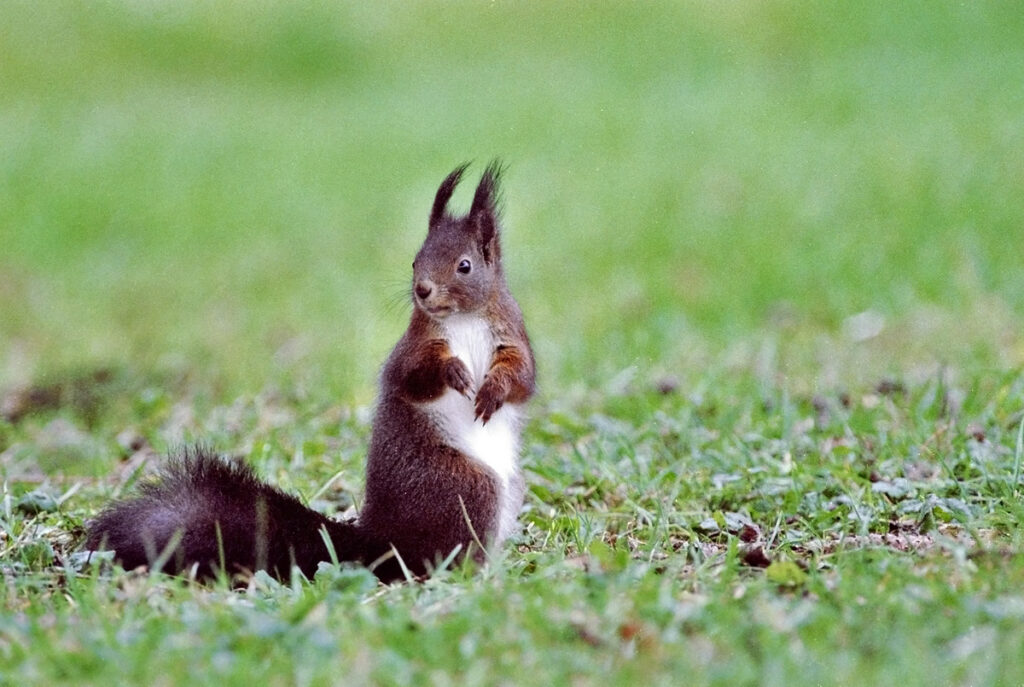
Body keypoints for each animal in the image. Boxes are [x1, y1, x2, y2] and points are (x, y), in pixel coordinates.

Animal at [86, 162, 536, 583]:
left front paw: (493, 389)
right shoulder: (413, 346)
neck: (463, 318)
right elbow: (414, 375)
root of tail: (381, 543)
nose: (422, 290)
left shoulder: (512, 336)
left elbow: (522, 379)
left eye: (465, 266)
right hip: (467, 485)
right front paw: (454, 370)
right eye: (414, 261)